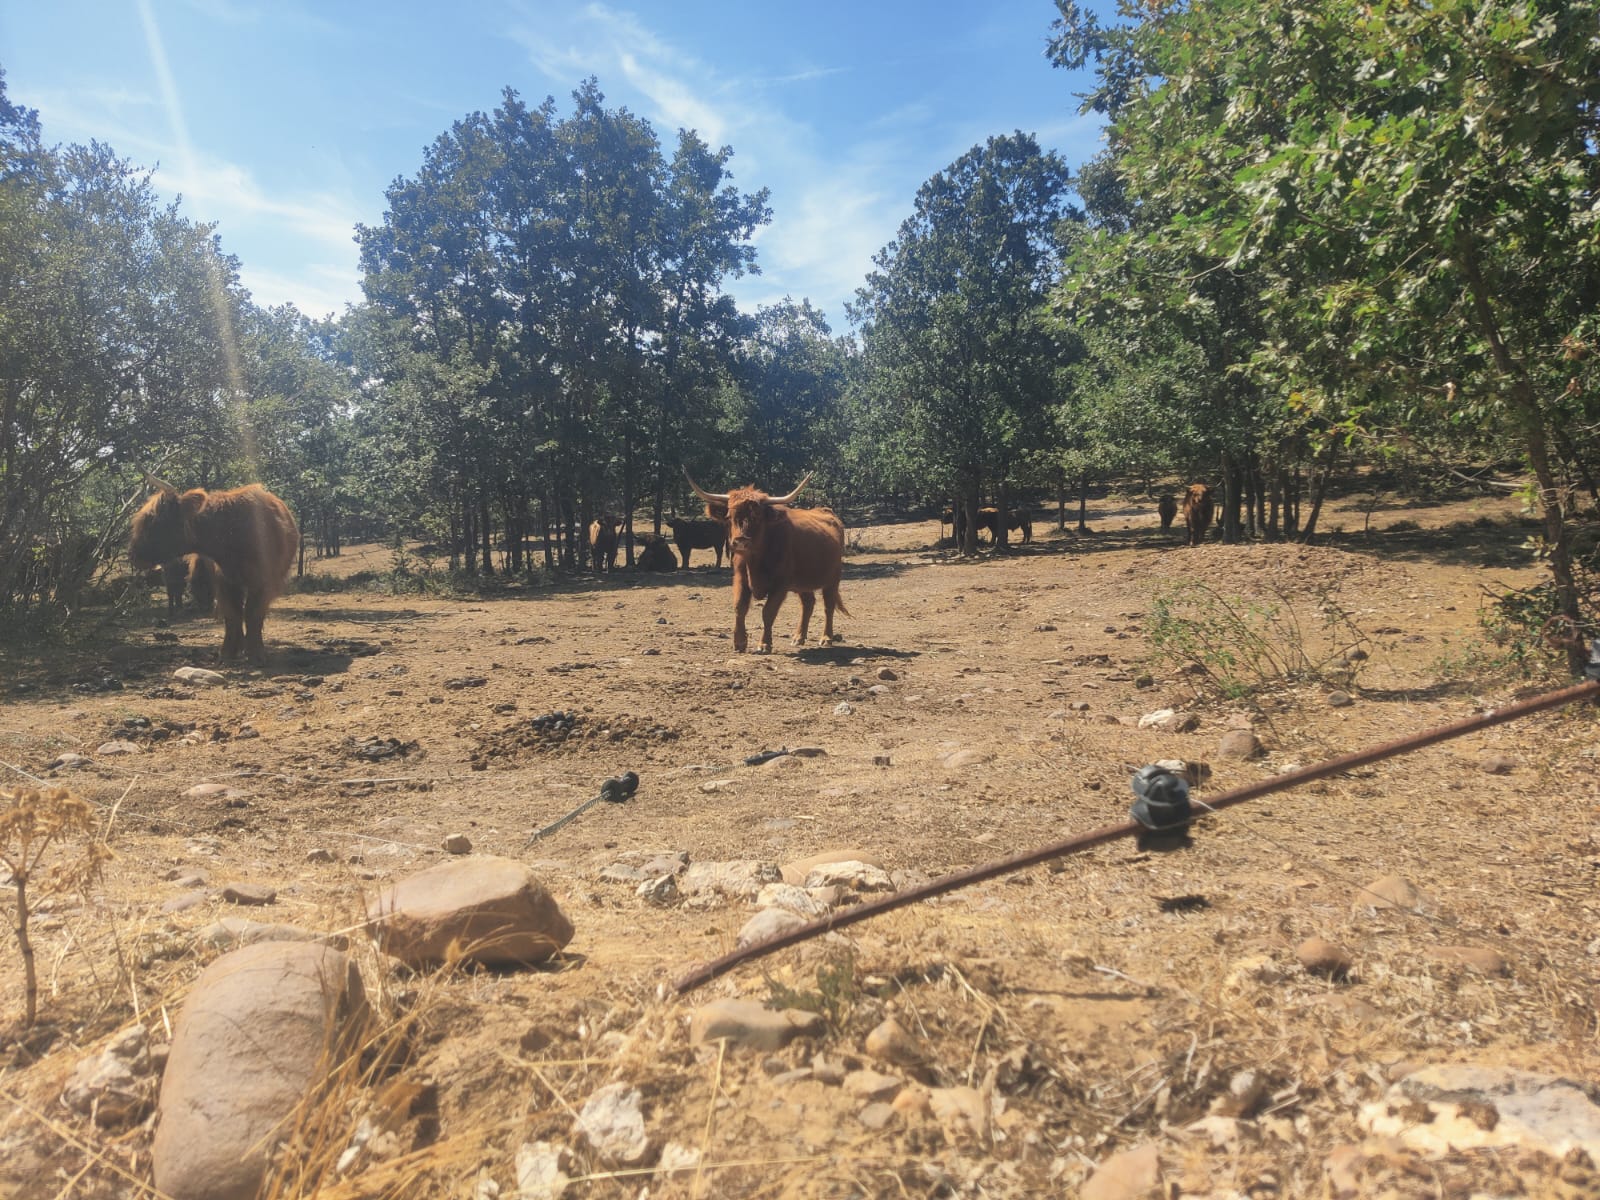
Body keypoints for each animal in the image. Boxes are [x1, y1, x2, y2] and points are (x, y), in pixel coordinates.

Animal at [129, 476, 299, 668]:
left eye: (155, 521)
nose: (133, 555)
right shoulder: (224, 582)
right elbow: (233, 615)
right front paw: (228, 653)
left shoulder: (263, 583)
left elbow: (253, 614)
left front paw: (256, 654)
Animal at [681, 473, 851, 659]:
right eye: (729, 516)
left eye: (757, 517)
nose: (741, 541)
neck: (756, 560)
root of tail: (827, 512)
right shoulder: (741, 579)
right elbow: (739, 608)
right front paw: (739, 642)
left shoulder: (780, 585)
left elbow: (768, 612)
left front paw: (764, 644)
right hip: (802, 583)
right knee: (808, 604)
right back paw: (799, 637)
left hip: (832, 580)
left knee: (828, 606)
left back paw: (826, 638)